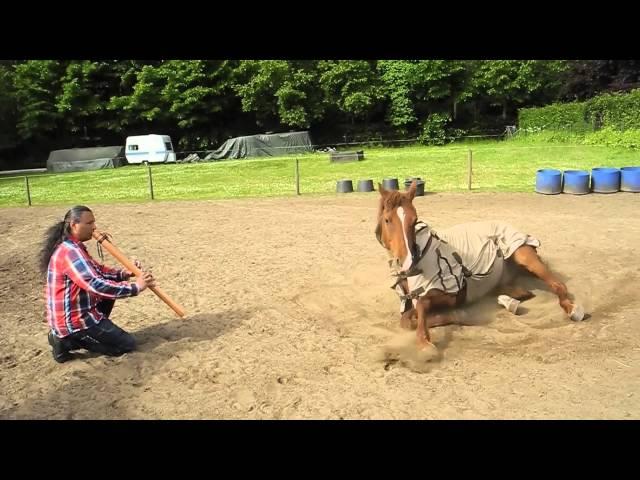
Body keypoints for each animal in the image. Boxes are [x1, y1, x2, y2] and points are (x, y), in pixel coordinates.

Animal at [376, 180, 584, 348]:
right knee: (517, 291)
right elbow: (407, 318)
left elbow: (417, 313)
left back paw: (573, 309)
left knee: (558, 285)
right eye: (387, 220)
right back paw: (510, 300)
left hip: (523, 255)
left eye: (414, 220)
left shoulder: (450, 294)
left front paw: (428, 340)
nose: (407, 261)